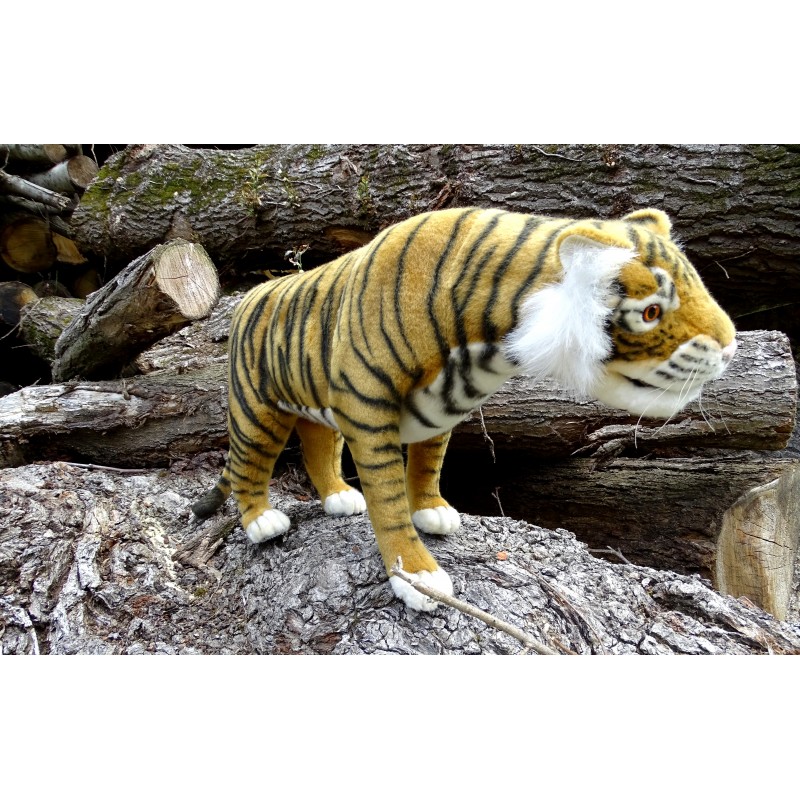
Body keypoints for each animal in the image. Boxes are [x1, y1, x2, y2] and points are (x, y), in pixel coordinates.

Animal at [192, 206, 737, 612]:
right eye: (651, 312)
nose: (732, 348)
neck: (487, 344)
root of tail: (250, 295)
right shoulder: (368, 409)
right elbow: (389, 500)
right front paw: (417, 575)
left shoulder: (437, 410)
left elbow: (427, 467)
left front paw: (433, 511)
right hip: (257, 411)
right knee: (249, 465)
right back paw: (261, 521)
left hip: (314, 406)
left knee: (318, 446)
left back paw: (338, 497)